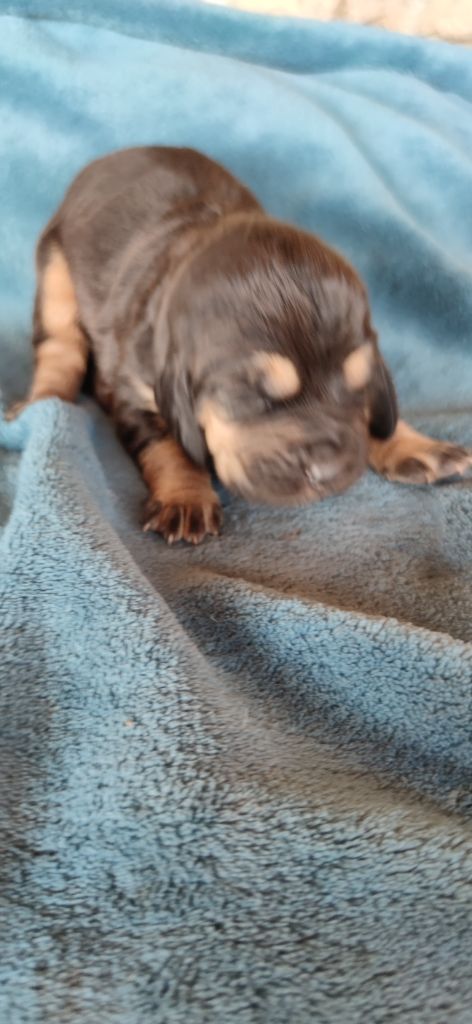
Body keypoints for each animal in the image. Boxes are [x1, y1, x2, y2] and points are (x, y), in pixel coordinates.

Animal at [8, 146, 472, 543]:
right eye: (249, 395)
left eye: (358, 388)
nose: (326, 471)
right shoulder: (133, 392)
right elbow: (171, 444)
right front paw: (185, 499)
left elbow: (378, 416)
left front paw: (418, 445)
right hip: (56, 272)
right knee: (59, 348)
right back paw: (43, 402)